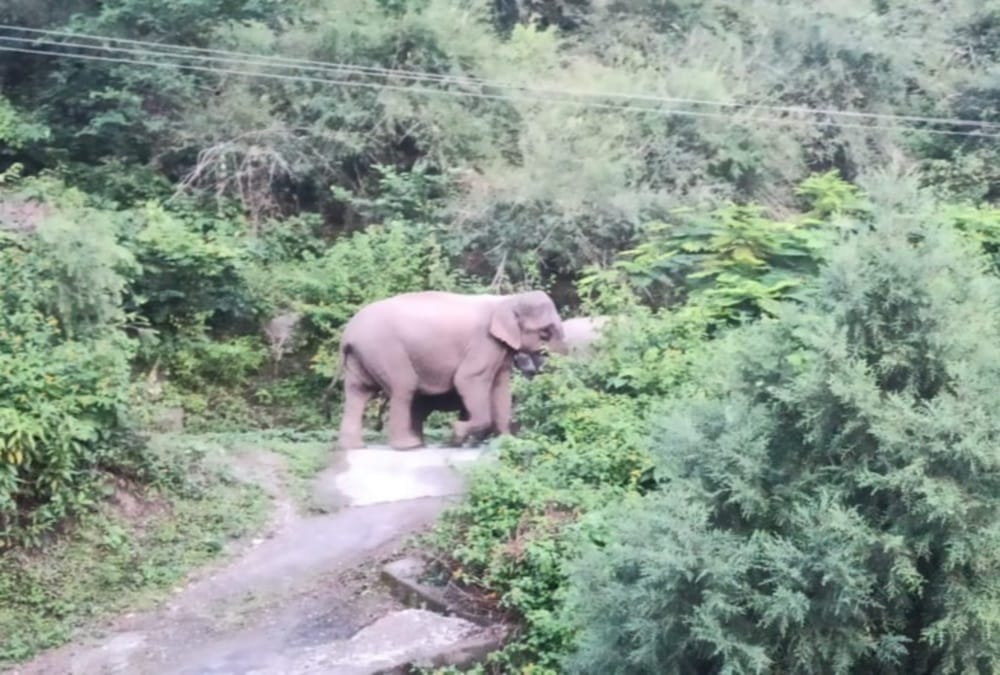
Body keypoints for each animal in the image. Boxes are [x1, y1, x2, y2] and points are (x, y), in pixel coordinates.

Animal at [335, 290, 568, 450]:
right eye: (545, 332)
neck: (507, 300)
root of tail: (348, 334)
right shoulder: (484, 342)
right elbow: (468, 379)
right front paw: (457, 433)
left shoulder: (500, 349)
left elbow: (501, 387)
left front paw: (506, 442)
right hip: (384, 350)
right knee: (403, 386)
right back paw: (409, 446)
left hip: (362, 355)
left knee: (358, 392)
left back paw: (355, 446)